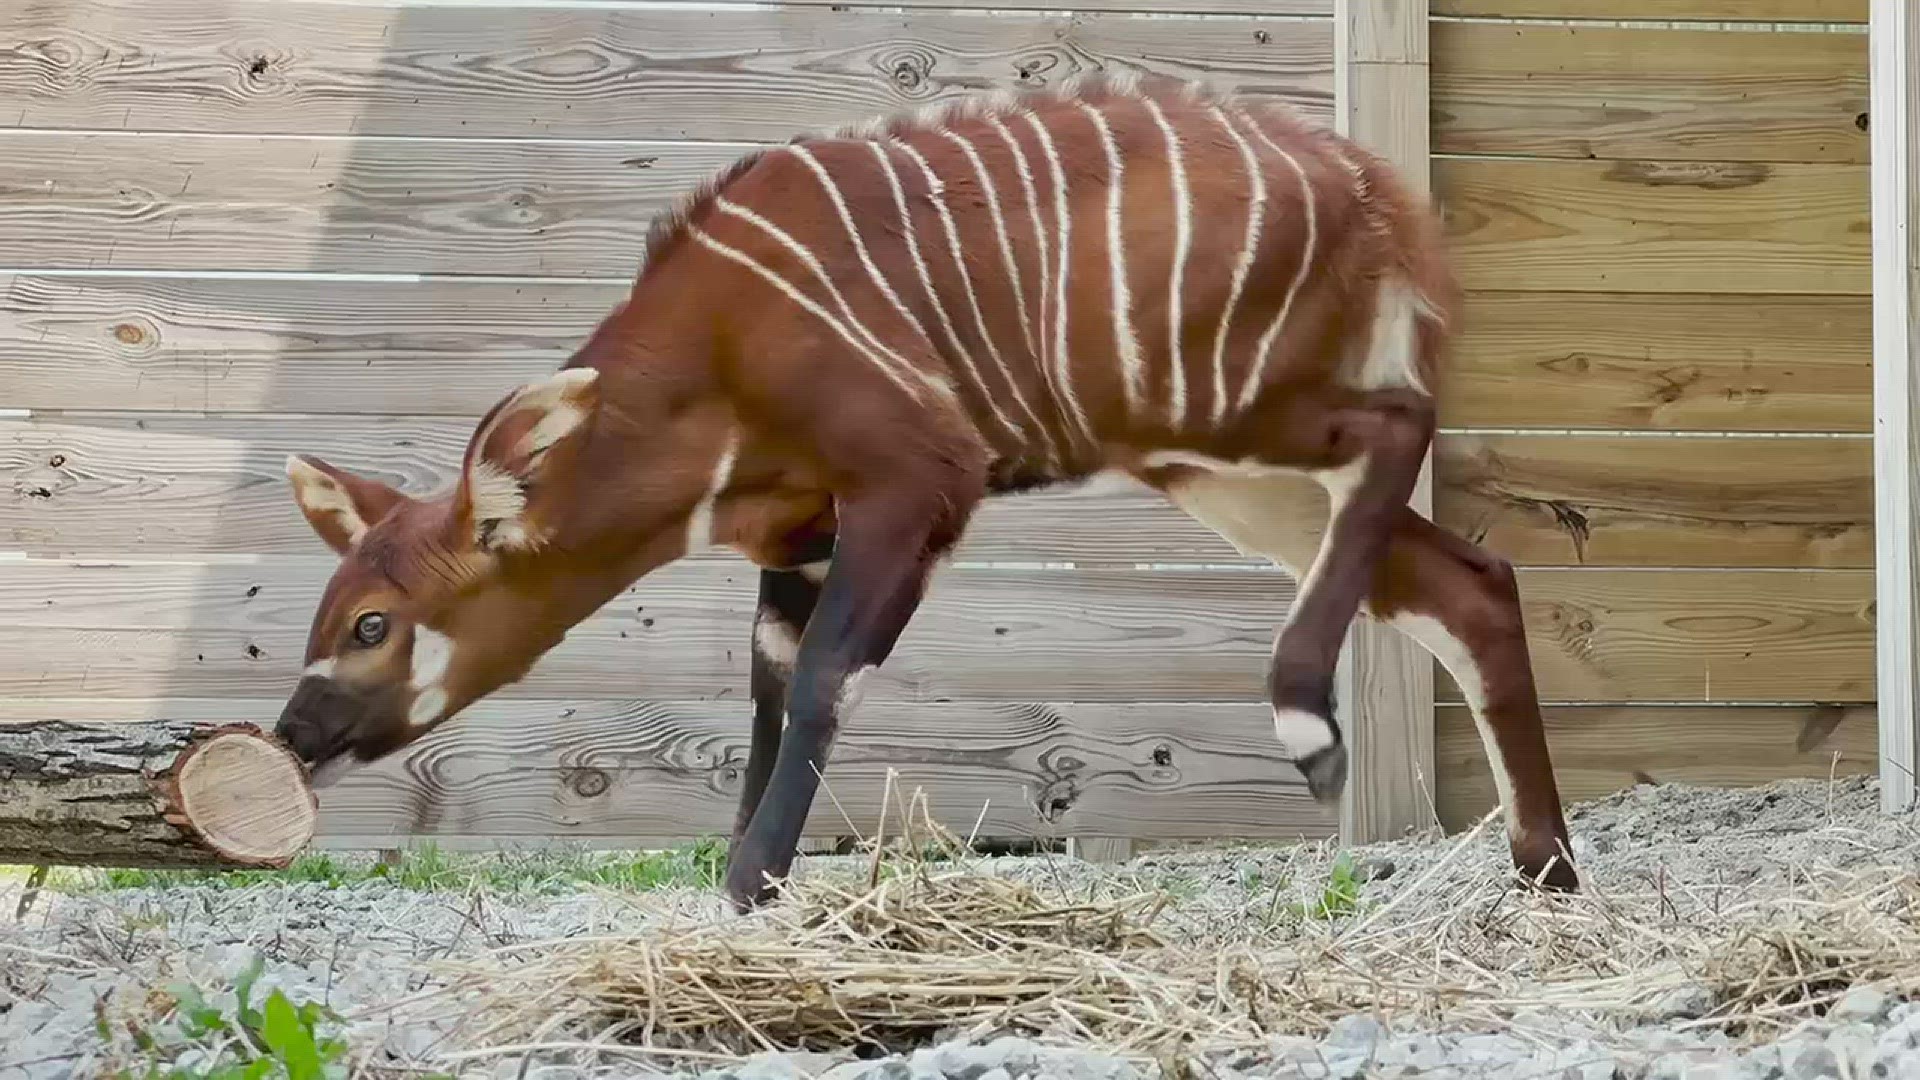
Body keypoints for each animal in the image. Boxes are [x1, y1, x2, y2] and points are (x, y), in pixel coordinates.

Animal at [278, 73, 1582, 907]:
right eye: (328, 612)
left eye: (373, 623)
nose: (293, 734)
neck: (718, 349)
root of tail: (1375, 189)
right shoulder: (799, 535)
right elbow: (769, 685)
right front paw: (746, 888)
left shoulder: (916, 482)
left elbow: (822, 683)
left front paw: (748, 884)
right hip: (1221, 468)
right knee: (1472, 577)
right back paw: (1547, 870)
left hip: (1233, 413)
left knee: (1404, 426)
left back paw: (1312, 726)